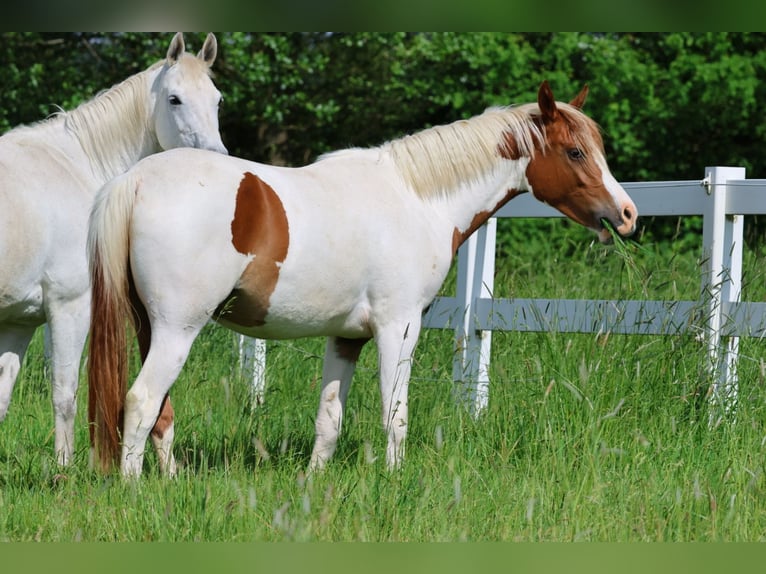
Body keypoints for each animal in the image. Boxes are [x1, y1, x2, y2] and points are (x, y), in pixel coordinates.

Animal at [0, 33, 228, 470]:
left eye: (218, 100)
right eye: (174, 99)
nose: (214, 160)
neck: (77, 164)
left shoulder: (18, 322)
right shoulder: (69, 307)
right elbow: (65, 393)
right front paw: (63, 472)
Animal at [87, 81, 640, 476]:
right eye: (575, 152)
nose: (627, 214)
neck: (416, 197)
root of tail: (133, 182)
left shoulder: (346, 336)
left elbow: (329, 418)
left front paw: (314, 484)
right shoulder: (399, 327)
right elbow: (395, 414)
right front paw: (395, 482)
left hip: (148, 327)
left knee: (160, 413)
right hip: (177, 329)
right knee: (141, 401)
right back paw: (133, 489)